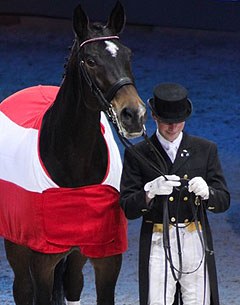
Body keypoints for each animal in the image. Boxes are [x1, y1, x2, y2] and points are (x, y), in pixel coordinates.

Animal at [0, 2, 146, 304]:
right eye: (90, 60)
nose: (133, 115)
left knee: (73, 283)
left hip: (77, 255)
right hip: (17, 246)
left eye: (128, 55)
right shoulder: (42, 263)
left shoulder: (107, 258)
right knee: (22, 289)